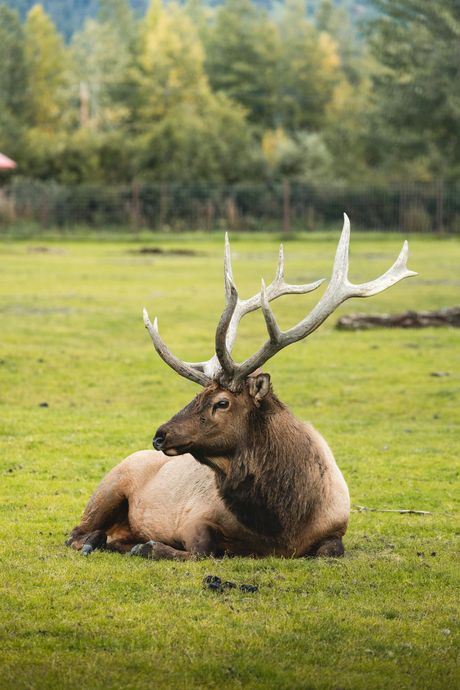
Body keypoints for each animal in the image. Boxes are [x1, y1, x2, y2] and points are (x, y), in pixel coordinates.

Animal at [66, 215, 416, 560]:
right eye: (197, 395)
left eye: (221, 402)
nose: (160, 435)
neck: (282, 525)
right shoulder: (194, 517)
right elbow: (202, 550)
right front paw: (149, 545)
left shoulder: (336, 528)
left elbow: (331, 550)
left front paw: (145, 545)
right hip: (109, 486)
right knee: (75, 533)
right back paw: (96, 541)